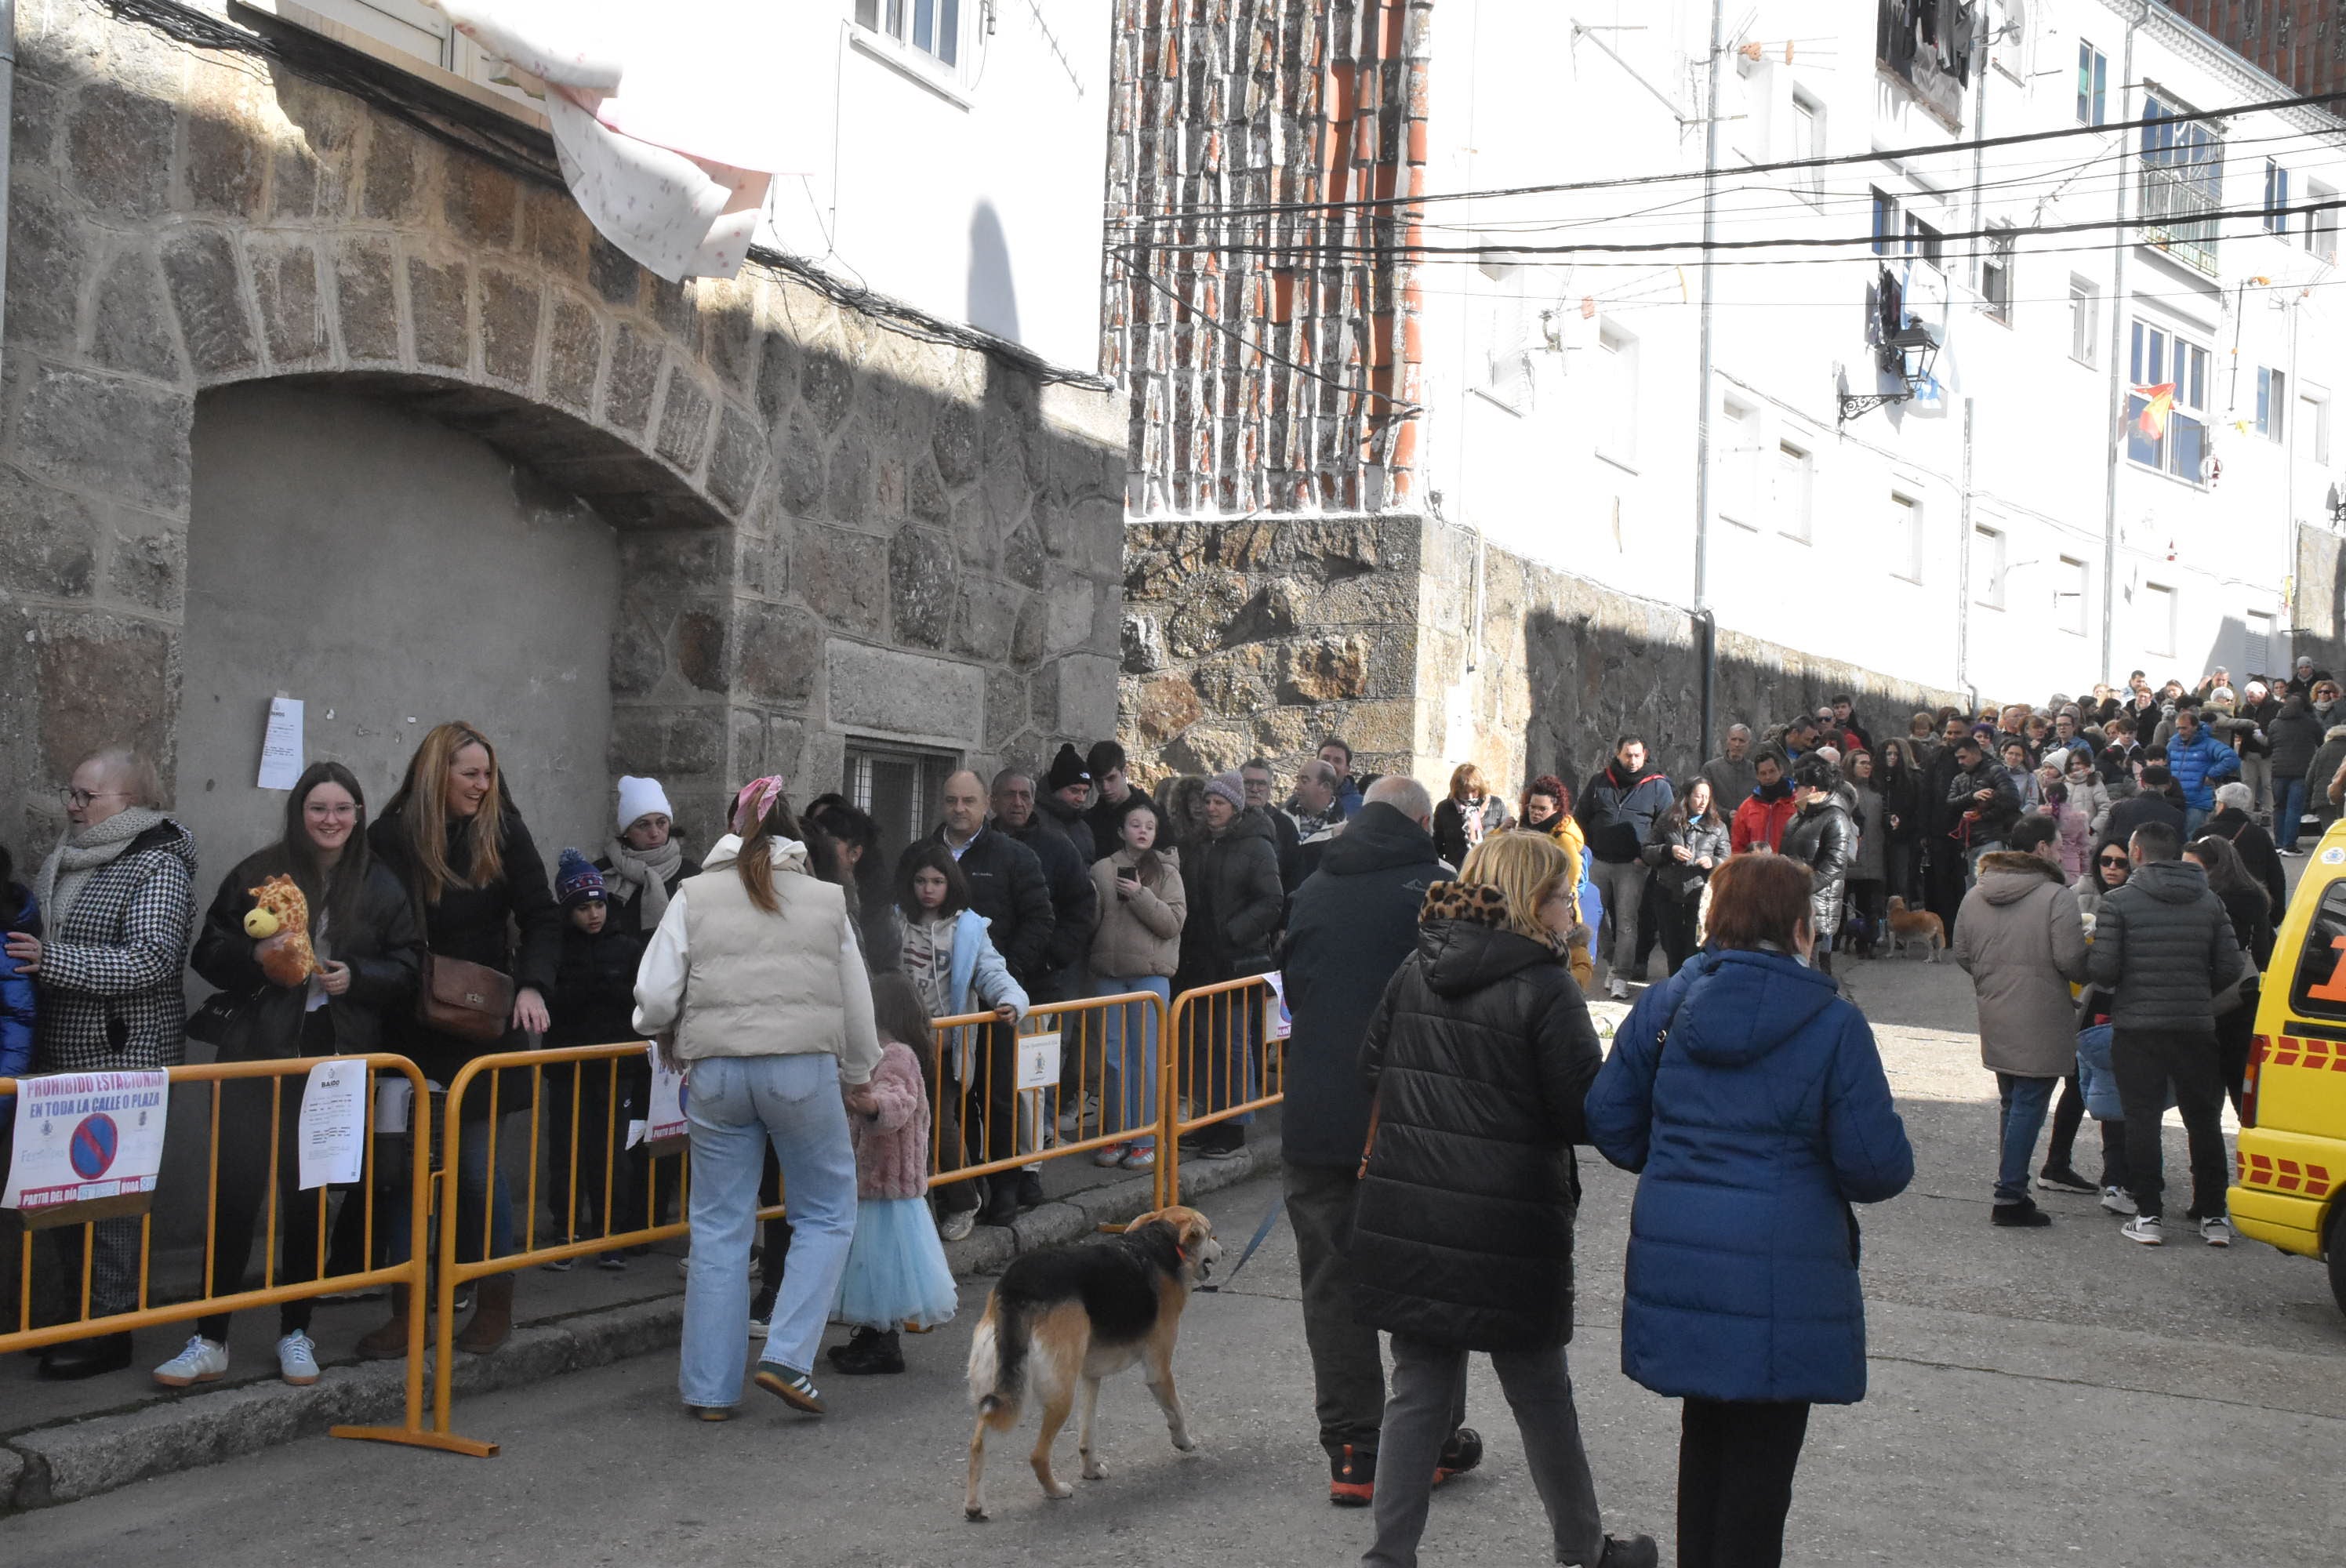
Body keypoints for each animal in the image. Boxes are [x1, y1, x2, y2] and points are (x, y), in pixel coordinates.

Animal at [961, 1201, 1219, 1521]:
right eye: (1209, 1233)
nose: (1222, 1249)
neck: (1163, 1242)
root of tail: (1015, 1287)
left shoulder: (1090, 1377)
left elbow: (1087, 1434)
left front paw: (1091, 1469)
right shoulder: (1159, 1370)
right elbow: (1176, 1411)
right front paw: (1184, 1442)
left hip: (997, 1386)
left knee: (978, 1443)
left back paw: (974, 1505)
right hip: (1060, 1394)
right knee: (1037, 1455)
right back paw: (1055, 1491)